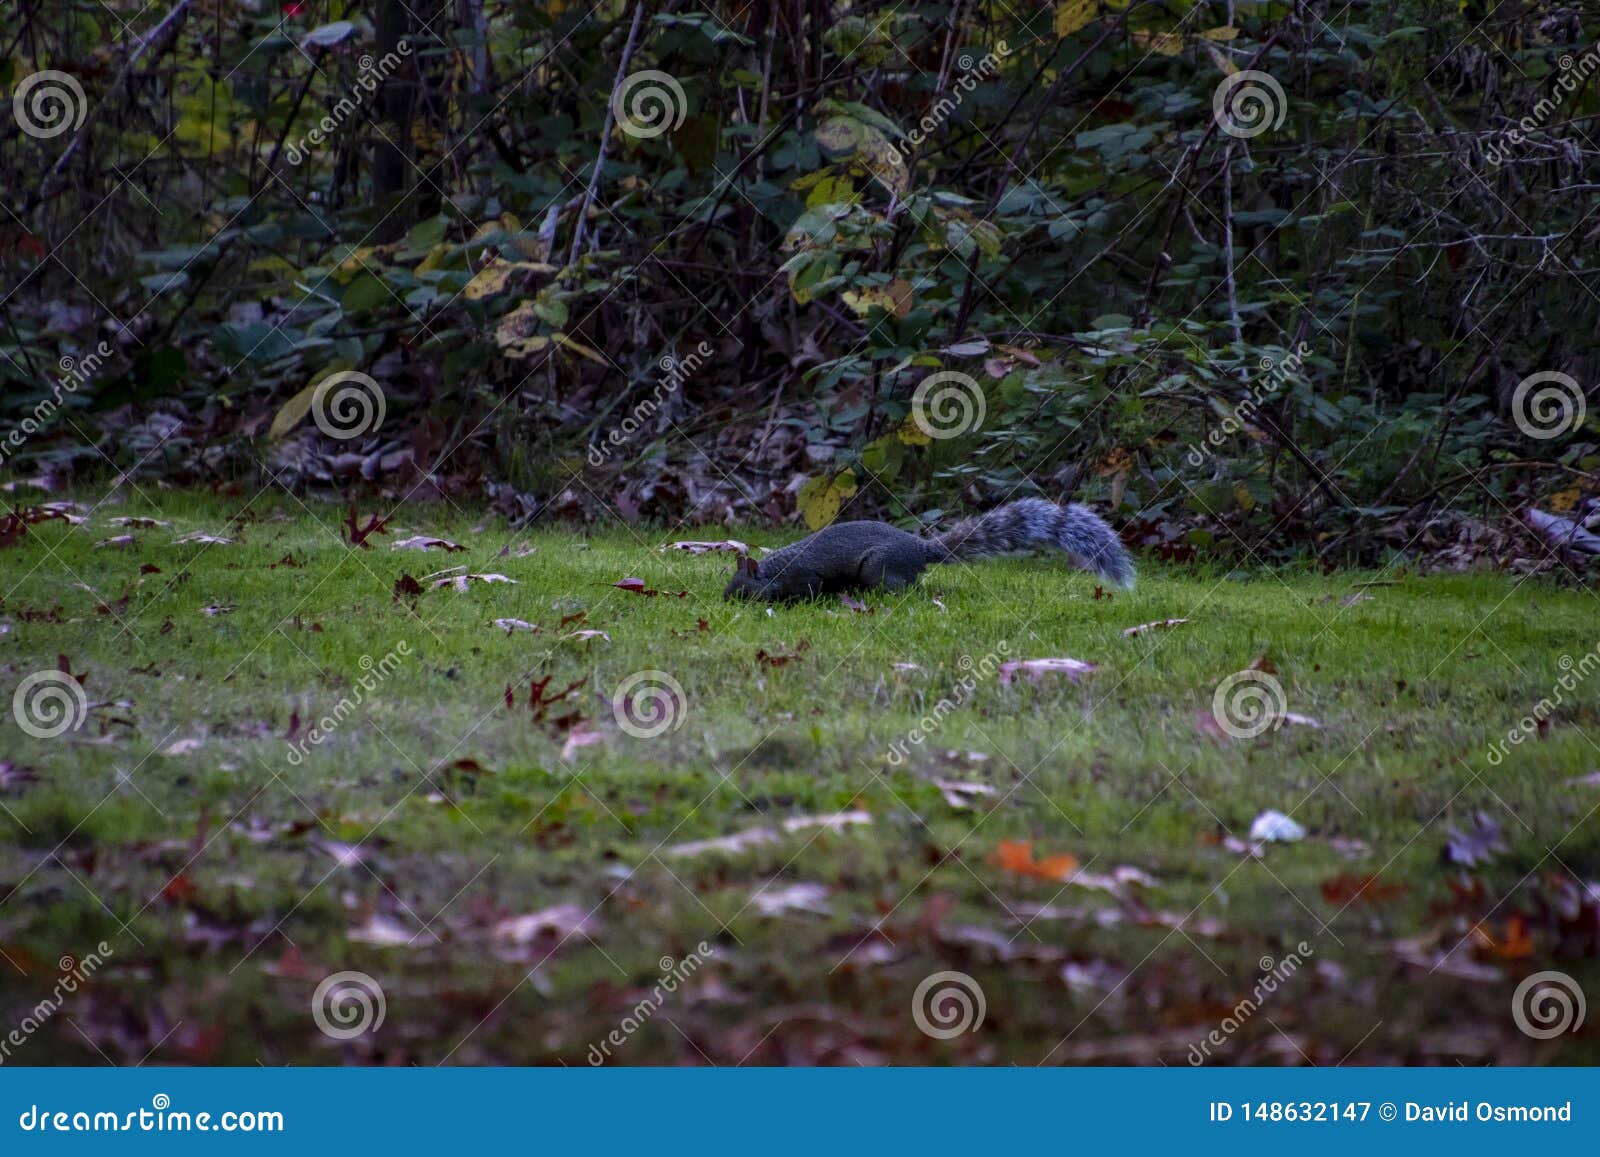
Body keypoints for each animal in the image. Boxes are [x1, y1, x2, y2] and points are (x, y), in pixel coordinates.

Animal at [723, 497, 1133, 602]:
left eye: (742, 588)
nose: (727, 601)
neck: (775, 570)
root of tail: (920, 550)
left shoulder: (804, 575)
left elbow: (808, 590)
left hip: (881, 569)